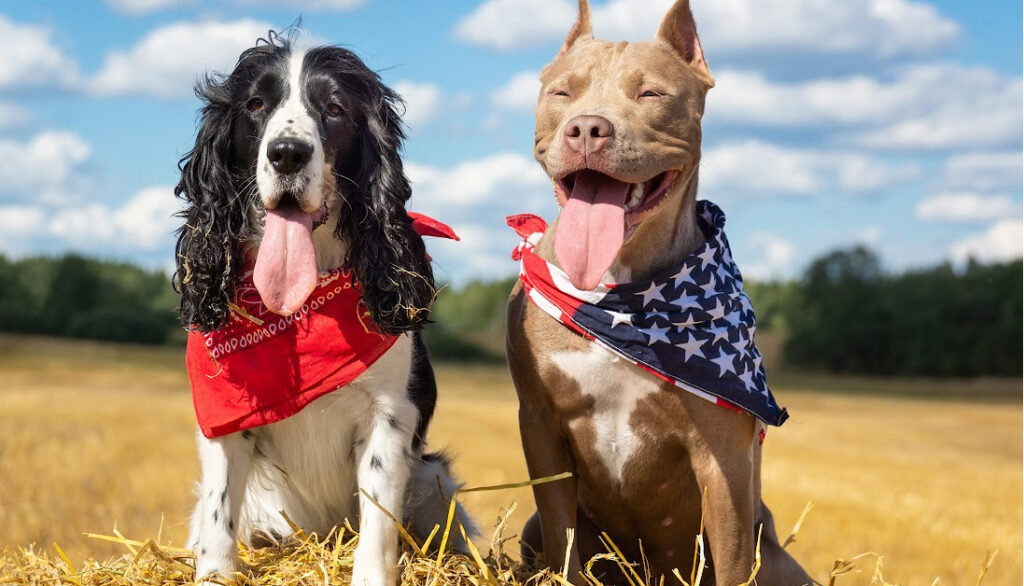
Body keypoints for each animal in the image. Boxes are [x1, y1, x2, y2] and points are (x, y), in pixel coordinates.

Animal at [175, 33, 471, 586]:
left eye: (335, 109)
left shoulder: (389, 415)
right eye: (255, 105)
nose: (288, 153)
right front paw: (216, 572)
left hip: (434, 476)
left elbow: (377, 520)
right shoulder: (225, 420)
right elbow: (219, 514)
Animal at [503, 2, 806, 581]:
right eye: (563, 93)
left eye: (650, 94)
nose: (587, 128)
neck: (617, 293)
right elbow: (562, 539)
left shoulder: (724, 459)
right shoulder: (540, 425)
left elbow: (733, 559)